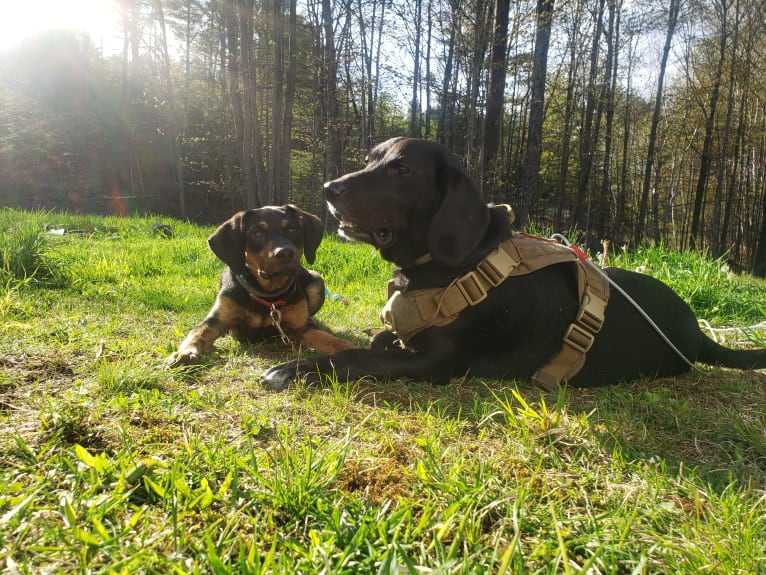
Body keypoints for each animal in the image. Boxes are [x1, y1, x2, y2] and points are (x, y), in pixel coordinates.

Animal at [166, 205, 356, 366]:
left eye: (292, 229)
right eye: (257, 233)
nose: (285, 253)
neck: (268, 295)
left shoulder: (302, 328)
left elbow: (333, 340)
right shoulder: (216, 319)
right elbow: (198, 333)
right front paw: (184, 353)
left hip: (317, 280)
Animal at [262, 138, 766, 392]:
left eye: (401, 170)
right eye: (370, 159)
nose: (329, 188)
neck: (451, 264)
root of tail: (696, 329)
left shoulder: (434, 362)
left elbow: (355, 356)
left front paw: (296, 370)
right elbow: (379, 338)